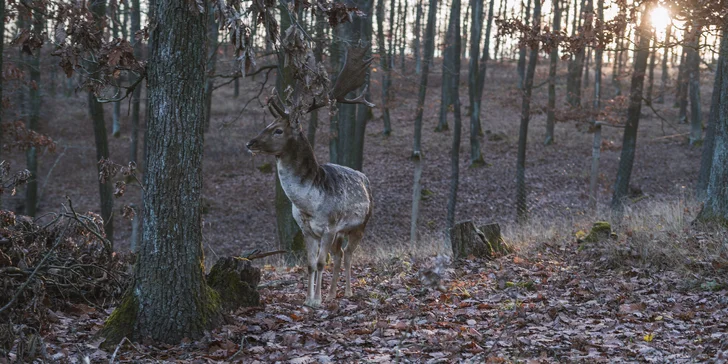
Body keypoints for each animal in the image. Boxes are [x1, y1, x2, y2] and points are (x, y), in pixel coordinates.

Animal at [249, 44, 378, 308]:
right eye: (267, 124)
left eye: (278, 130)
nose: (250, 143)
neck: (309, 202)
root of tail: (364, 177)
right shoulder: (306, 229)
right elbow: (309, 265)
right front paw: (309, 299)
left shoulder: (329, 226)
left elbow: (320, 263)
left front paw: (316, 301)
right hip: (340, 233)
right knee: (339, 255)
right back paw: (332, 294)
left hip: (360, 224)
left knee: (348, 255)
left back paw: (347, 292)